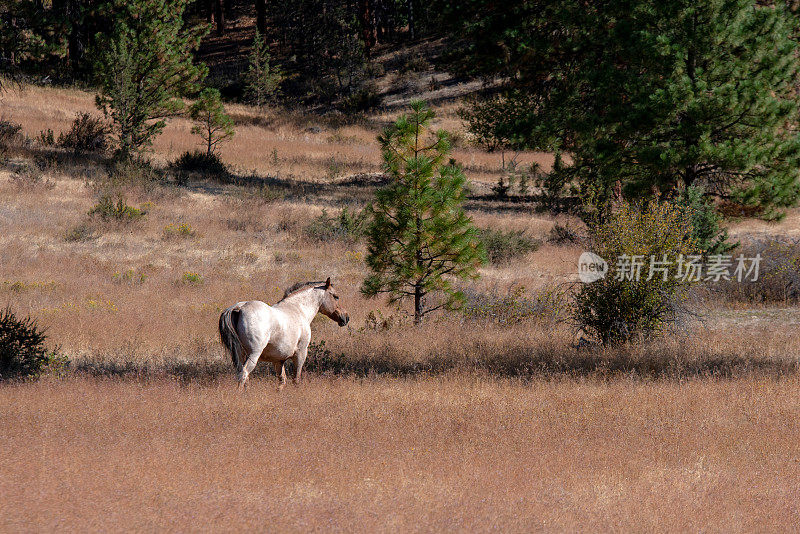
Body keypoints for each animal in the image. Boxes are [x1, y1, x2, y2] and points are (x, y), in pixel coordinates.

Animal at [217, 278, 348, 392]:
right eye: (336, 296)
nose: (345, 318)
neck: (298, 309)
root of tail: (239, 307)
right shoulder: (301, 353)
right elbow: (296, 379)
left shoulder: (278, 360)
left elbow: (282, 381)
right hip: (254, 354)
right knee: (244, 374)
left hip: (240, 355)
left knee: (242, 374)